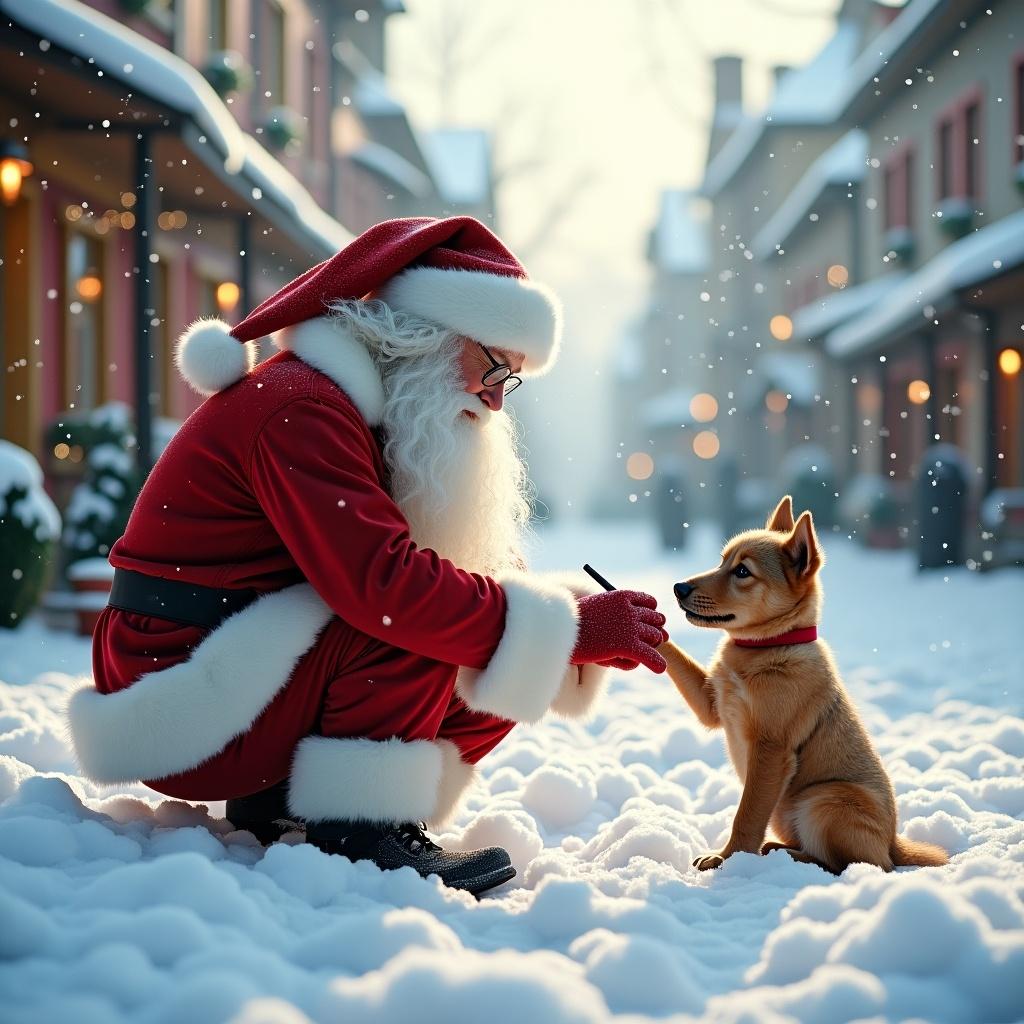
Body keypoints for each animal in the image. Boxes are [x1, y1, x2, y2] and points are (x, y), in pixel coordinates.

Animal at [659, 495, 946, 872]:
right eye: (722, 562)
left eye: (742, 571)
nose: (679, 588)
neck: (765, 648)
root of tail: (892, 844)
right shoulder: (714, 706)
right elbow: (676, 657)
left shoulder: (771, 747)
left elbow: (747, 815)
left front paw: (727, 859)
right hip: (791, 810)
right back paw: (778, 850)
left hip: (822, 799)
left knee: (854, 864)